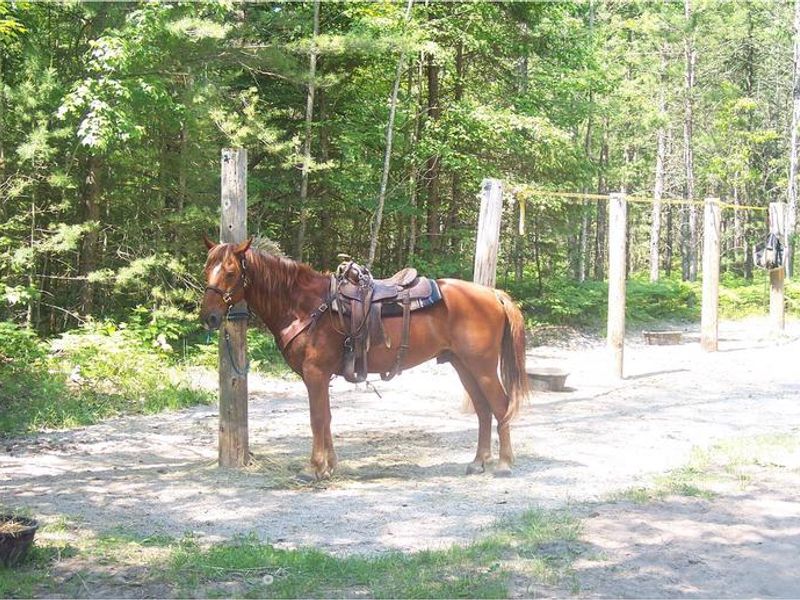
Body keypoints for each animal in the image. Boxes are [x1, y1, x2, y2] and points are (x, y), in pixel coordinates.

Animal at [199, 238, 530, 481]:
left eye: (230, 272)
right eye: (206, 269)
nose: (209, 317)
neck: (306, 306)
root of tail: (492, 293)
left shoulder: (315, 373)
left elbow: (316, 419)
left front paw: (314, 468)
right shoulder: (321, 376)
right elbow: (326, 417)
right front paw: (330, 466)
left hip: (482, 367)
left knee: (500, 406)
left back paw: (504, 463)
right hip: (463, 365)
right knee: (484, 410)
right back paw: (478, 462)